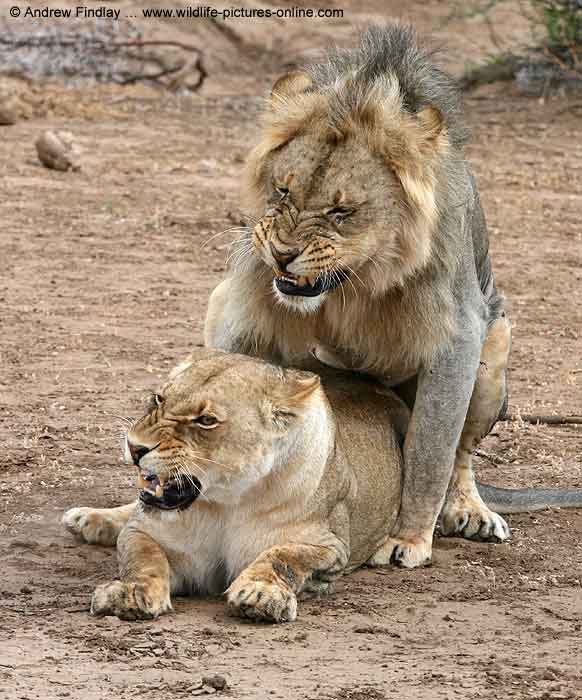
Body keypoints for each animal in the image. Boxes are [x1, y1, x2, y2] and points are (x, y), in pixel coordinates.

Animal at [205, 26, 516, 568]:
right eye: (283, 191)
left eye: (341, 211)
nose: (283, 255)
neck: (355, 283)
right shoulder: (245, 308)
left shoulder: (458, 334)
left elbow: (431, 451)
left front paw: (408, 539)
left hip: (493, 353)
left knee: (460, 456)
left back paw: (469, 511)